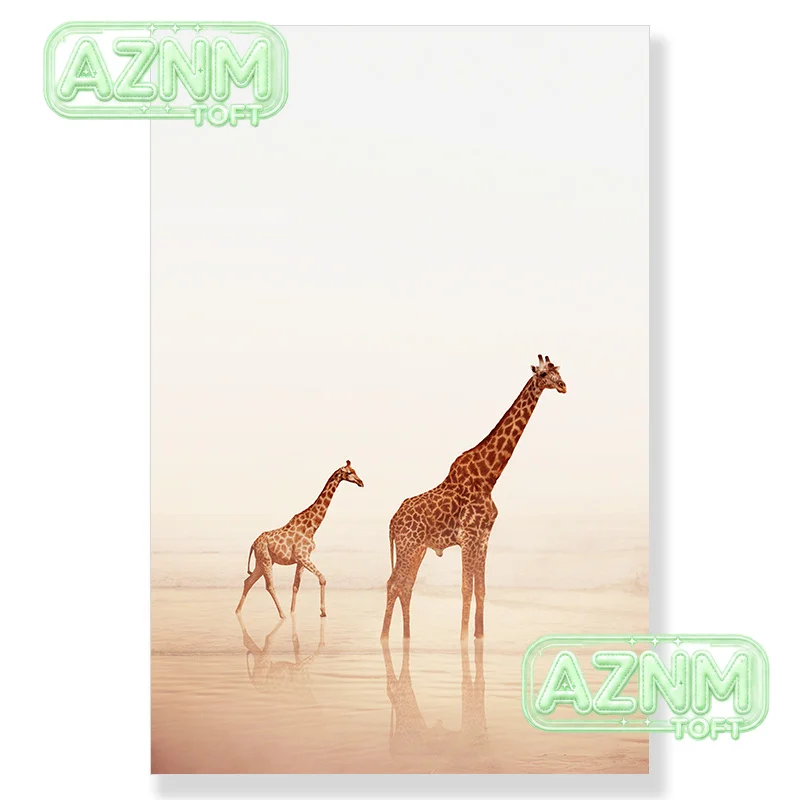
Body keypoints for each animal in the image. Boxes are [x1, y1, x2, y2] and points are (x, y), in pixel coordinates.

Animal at [235, 460, 364, 618]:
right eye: (350, 472)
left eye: (355, 470)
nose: (361, 482)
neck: (313, 526)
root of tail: (253, 544)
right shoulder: (303, 556)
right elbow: (322, 578)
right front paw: (323, 612)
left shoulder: (301, 560)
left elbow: (296, 586)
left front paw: (293, 611)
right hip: (266, 560)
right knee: (269, 586)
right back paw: (282, 614)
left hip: (262, 562)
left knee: (248, 581)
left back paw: (238, 611)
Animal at [380, 356, 566, 640]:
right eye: (543, 374)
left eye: (558, 371)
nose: (563, 386)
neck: (489, 477)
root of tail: (392, 521)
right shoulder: (467, 537)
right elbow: (466, 589)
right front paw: (463, 638)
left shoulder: (484, 538)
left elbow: (480, 589)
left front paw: (479, 635)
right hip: (407, 545)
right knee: (393, 584)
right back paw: (385, 637)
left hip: (417, 548)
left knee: (406, 585)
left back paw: (406, 636)